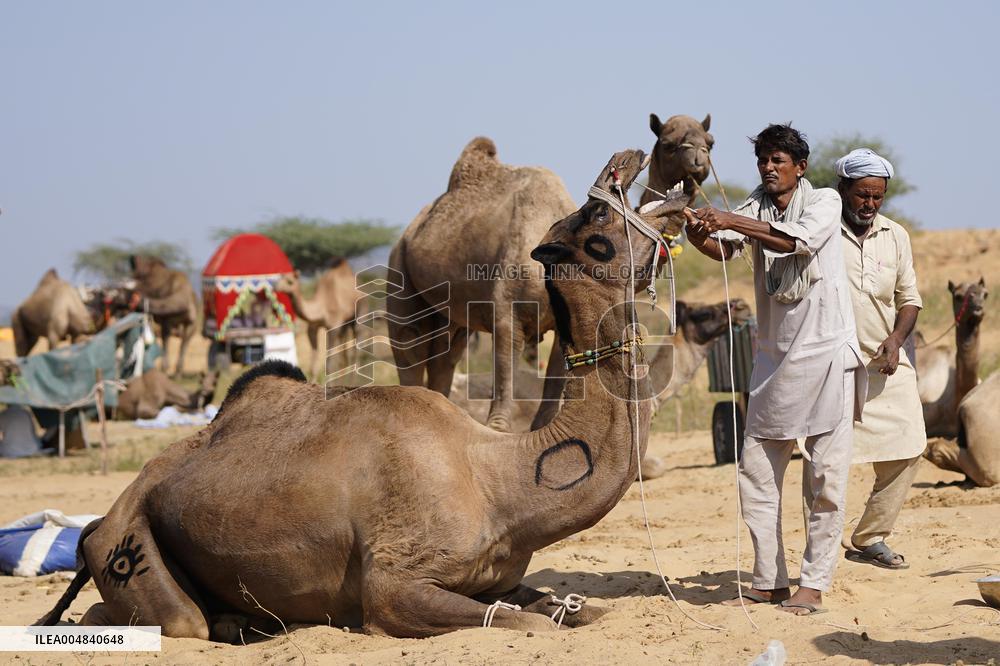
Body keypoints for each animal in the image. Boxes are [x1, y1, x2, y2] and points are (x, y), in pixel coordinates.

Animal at [40, 148, 688, 640]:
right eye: (593, 217)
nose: (630, 156)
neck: (499, 482)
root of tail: (101, 521)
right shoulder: (394, 584)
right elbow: (522, 625)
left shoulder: (504, 577)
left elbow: (575, 611)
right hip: (132, 539)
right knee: (165, 620)